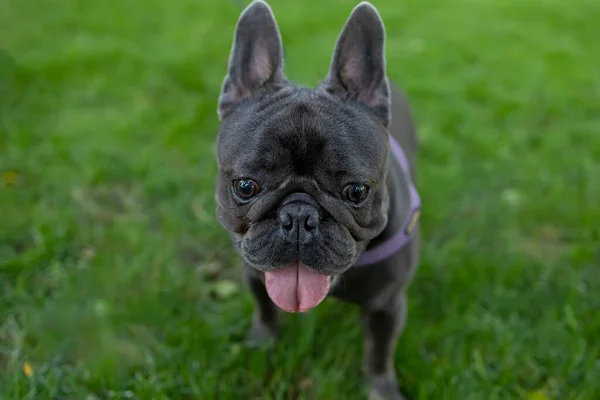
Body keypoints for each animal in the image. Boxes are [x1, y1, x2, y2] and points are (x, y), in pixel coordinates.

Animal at [217, 1, 422, 398]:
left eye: (356, 191)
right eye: (245, 186)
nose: (298, 216)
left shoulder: (387, 306)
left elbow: (379, 354)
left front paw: (382, 389)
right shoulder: (255, 277)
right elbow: (264, 310)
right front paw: (262, 344)